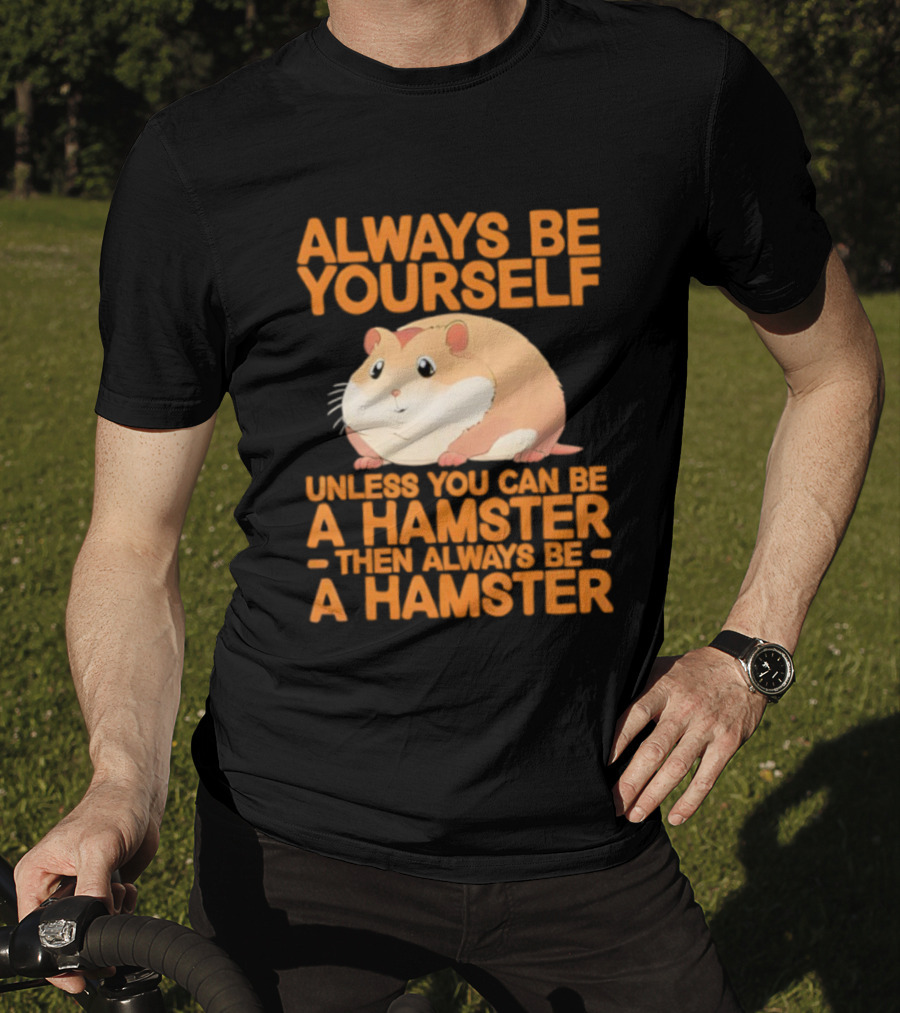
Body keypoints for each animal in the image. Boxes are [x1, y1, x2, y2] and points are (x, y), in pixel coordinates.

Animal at [337, 313, 581, 469]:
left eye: (426, 367)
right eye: (375, 369)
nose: (394, 391)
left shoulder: (497, 417)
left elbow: (468, 439)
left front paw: (450, 457)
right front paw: (365, 462)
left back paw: (529, 455)